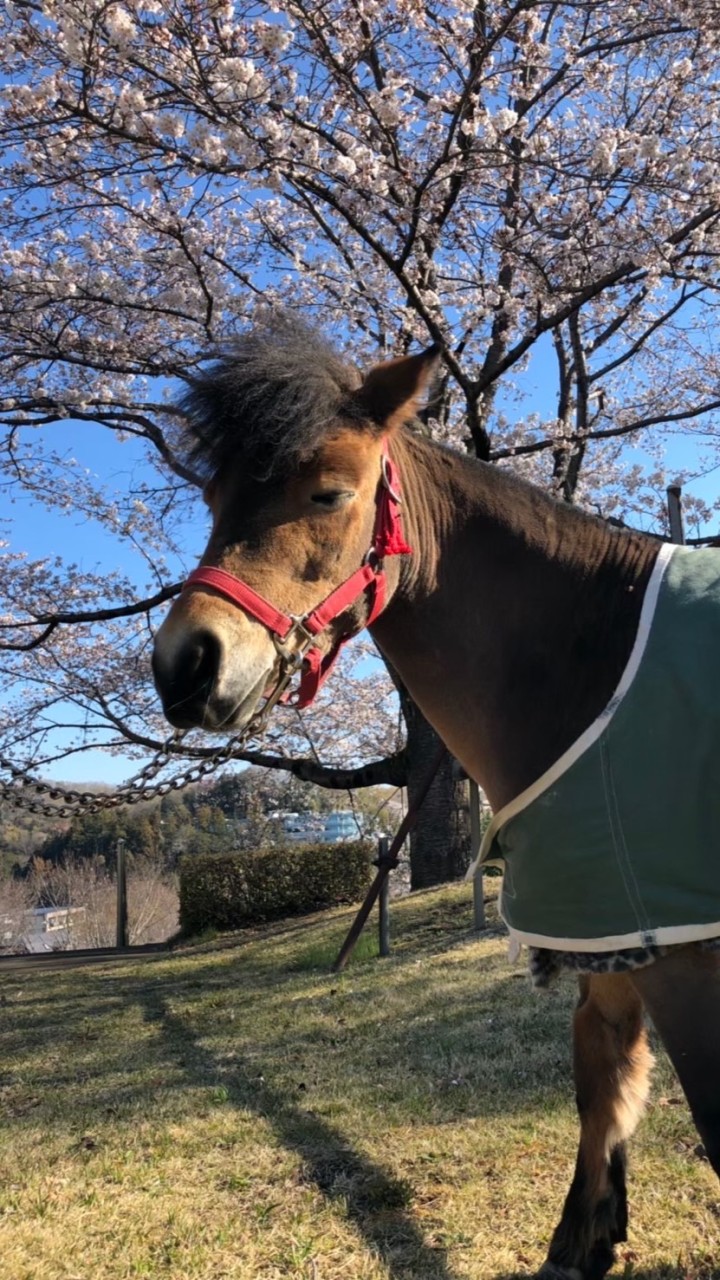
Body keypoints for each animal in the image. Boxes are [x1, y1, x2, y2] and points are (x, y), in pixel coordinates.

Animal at [152, 316, 720, 1279]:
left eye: (328, 493)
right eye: (215, 495)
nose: (184, 664)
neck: (595, 663)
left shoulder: (688, 961)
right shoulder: (611, 939)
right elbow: (603, 1093)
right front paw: (583, 1243)